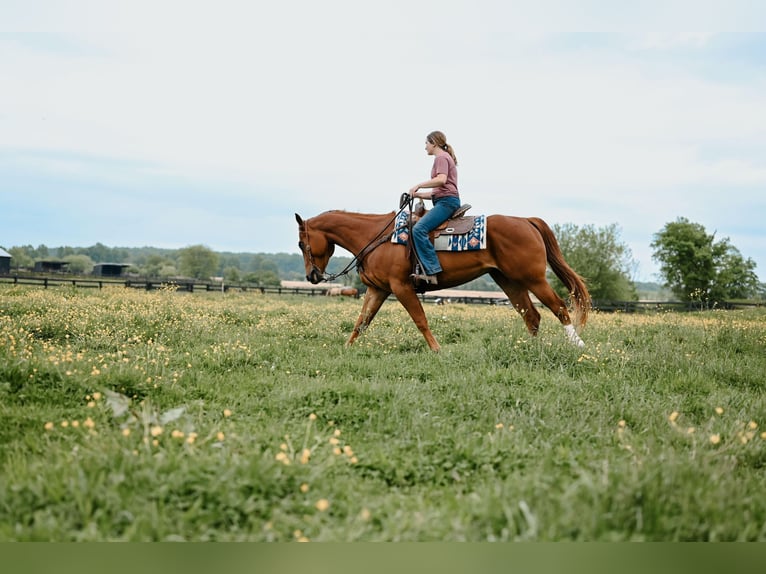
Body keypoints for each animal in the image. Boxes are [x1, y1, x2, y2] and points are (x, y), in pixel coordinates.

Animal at [296, 207, 592, 352]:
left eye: (301, 243)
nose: (312, 276)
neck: (376, 236)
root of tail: (526, 221)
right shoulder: (377, 290)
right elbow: (362, 322)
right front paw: (346, 350)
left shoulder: (401, 287)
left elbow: (420, 320)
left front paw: (437, 350)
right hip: (509, 281)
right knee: (532, 315)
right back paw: (530, 348)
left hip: (533, 278)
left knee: (559, 308)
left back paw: (578, 346)